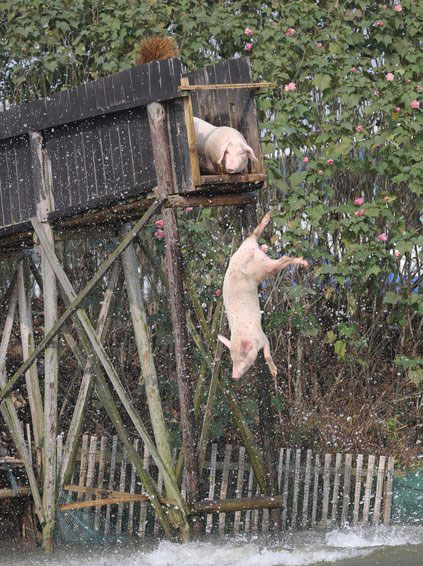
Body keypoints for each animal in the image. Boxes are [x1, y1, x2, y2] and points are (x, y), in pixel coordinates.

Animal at [219, 213, 308, 382]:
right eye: (232, 359)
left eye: (242, 358)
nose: (234, 376)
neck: (244, 335)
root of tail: (249, 253)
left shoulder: (262, 336)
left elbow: (266, 353)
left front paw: (274, 373)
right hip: (248, 248)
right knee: (254, 235)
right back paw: (267, 224)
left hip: (262, 268)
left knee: (283, 259)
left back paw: (304, 262)